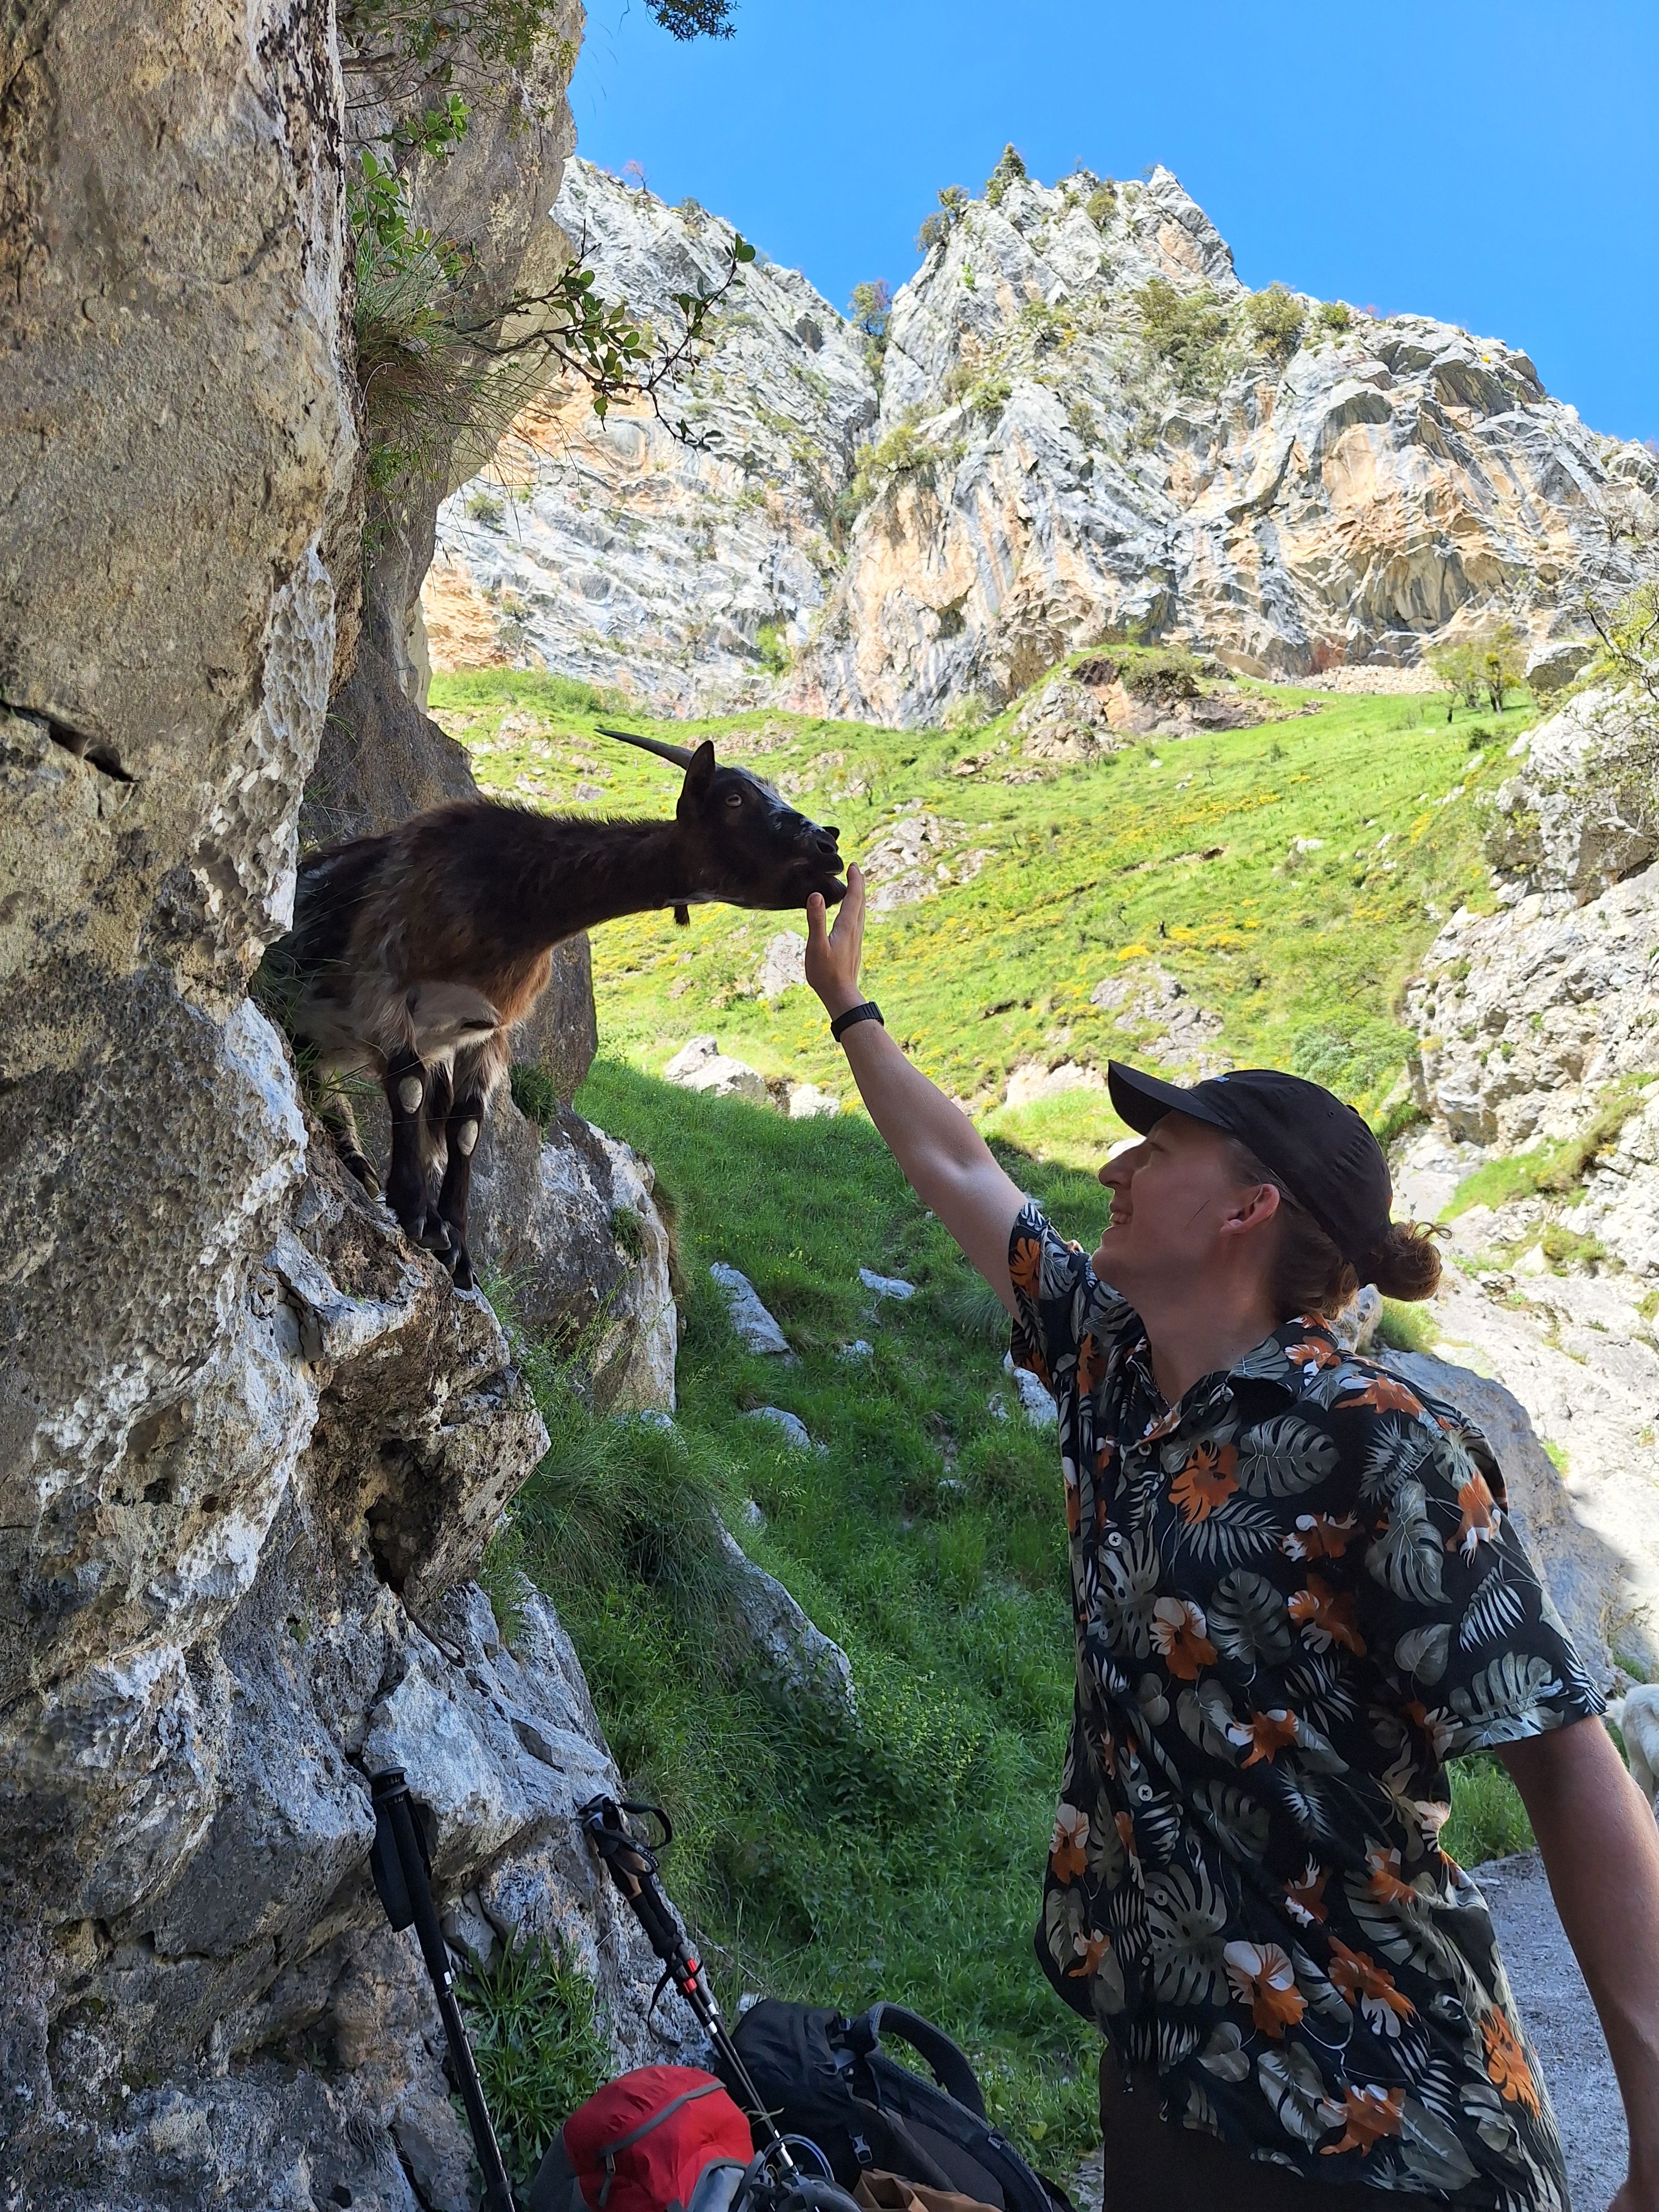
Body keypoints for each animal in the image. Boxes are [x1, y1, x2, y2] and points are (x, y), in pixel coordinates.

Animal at [268, 730, 845, 1289]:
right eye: (733, 799)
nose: (830, 846)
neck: (516, 903)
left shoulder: (484, 1034)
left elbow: (465, 1129)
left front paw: (457, 1248)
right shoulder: (384, 984)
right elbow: (408, 1088)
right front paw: (415, 1215)